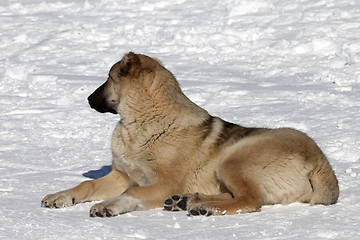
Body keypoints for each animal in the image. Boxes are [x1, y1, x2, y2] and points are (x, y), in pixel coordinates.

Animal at [40, 52, 338, 218]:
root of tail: (322, 162)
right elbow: (86, 185)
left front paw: (110, 205)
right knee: (239, 196)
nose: (88, 99)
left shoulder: (163, 183)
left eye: (110, 77)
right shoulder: (121, 175)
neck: (140, 123)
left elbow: (132, 192)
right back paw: (188, 201)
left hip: (233, 157)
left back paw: (205, 207)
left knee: (251, 200)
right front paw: (61, 195)